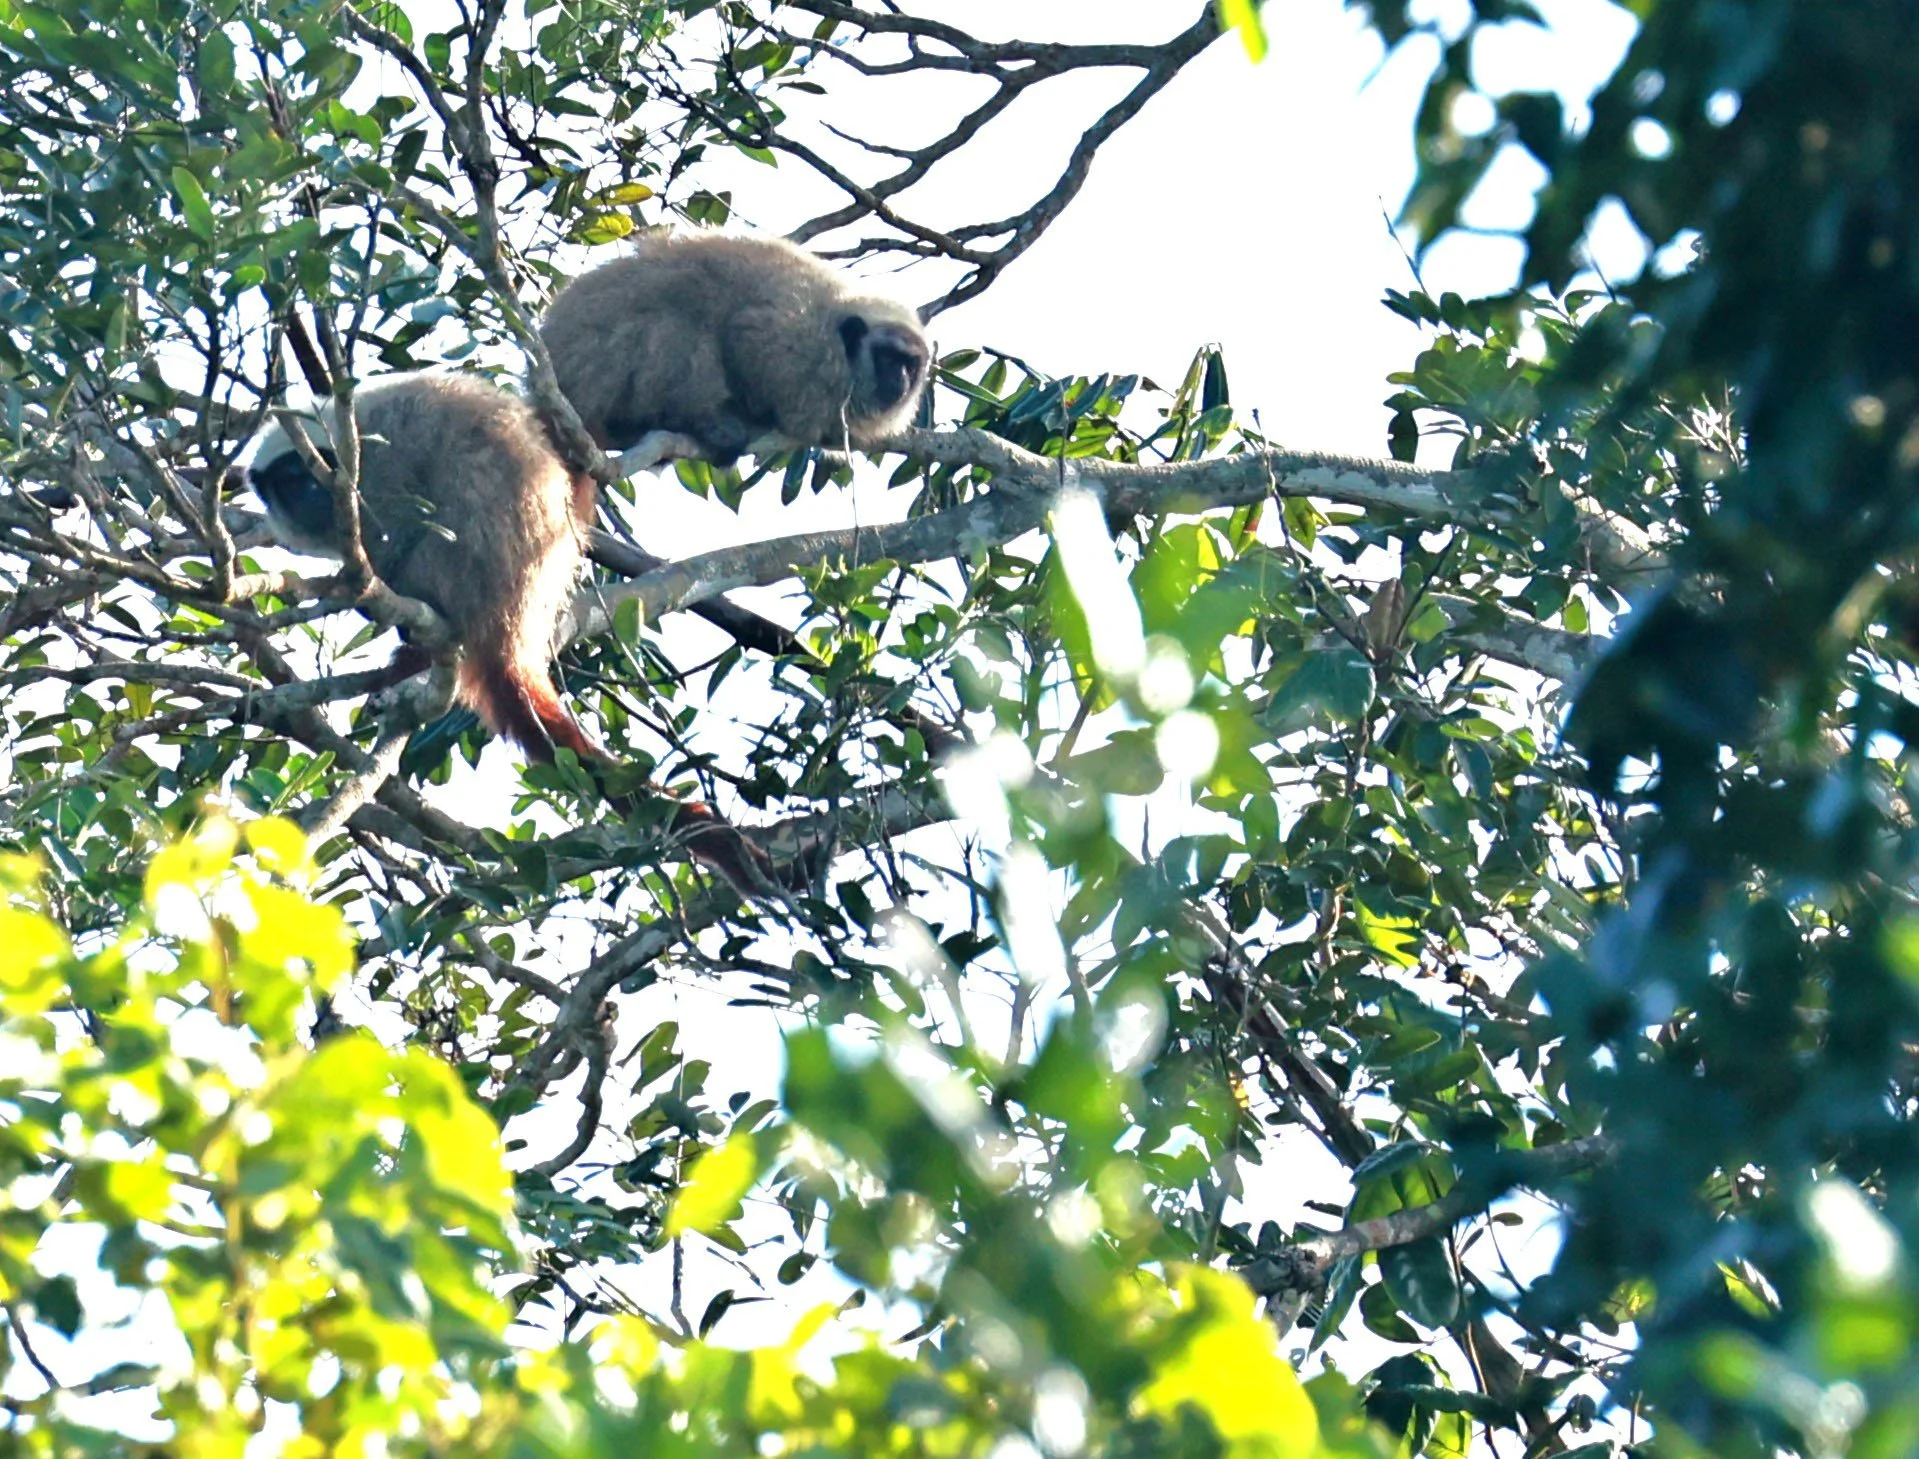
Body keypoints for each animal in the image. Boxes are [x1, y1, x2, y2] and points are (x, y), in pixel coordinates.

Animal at [246, 372, 781, 889]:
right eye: (289, 486)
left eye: (307, 476)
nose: (312, 497)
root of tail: (506, 618)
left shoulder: (378, 464)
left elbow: (396, 524)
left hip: (457, 572)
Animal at [538, 230, 931, 469]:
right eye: (887, 358)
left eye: (910, 365)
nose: (900, 380)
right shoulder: (795, 344)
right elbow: (741, 336)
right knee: (678, 319)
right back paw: (704, 423)